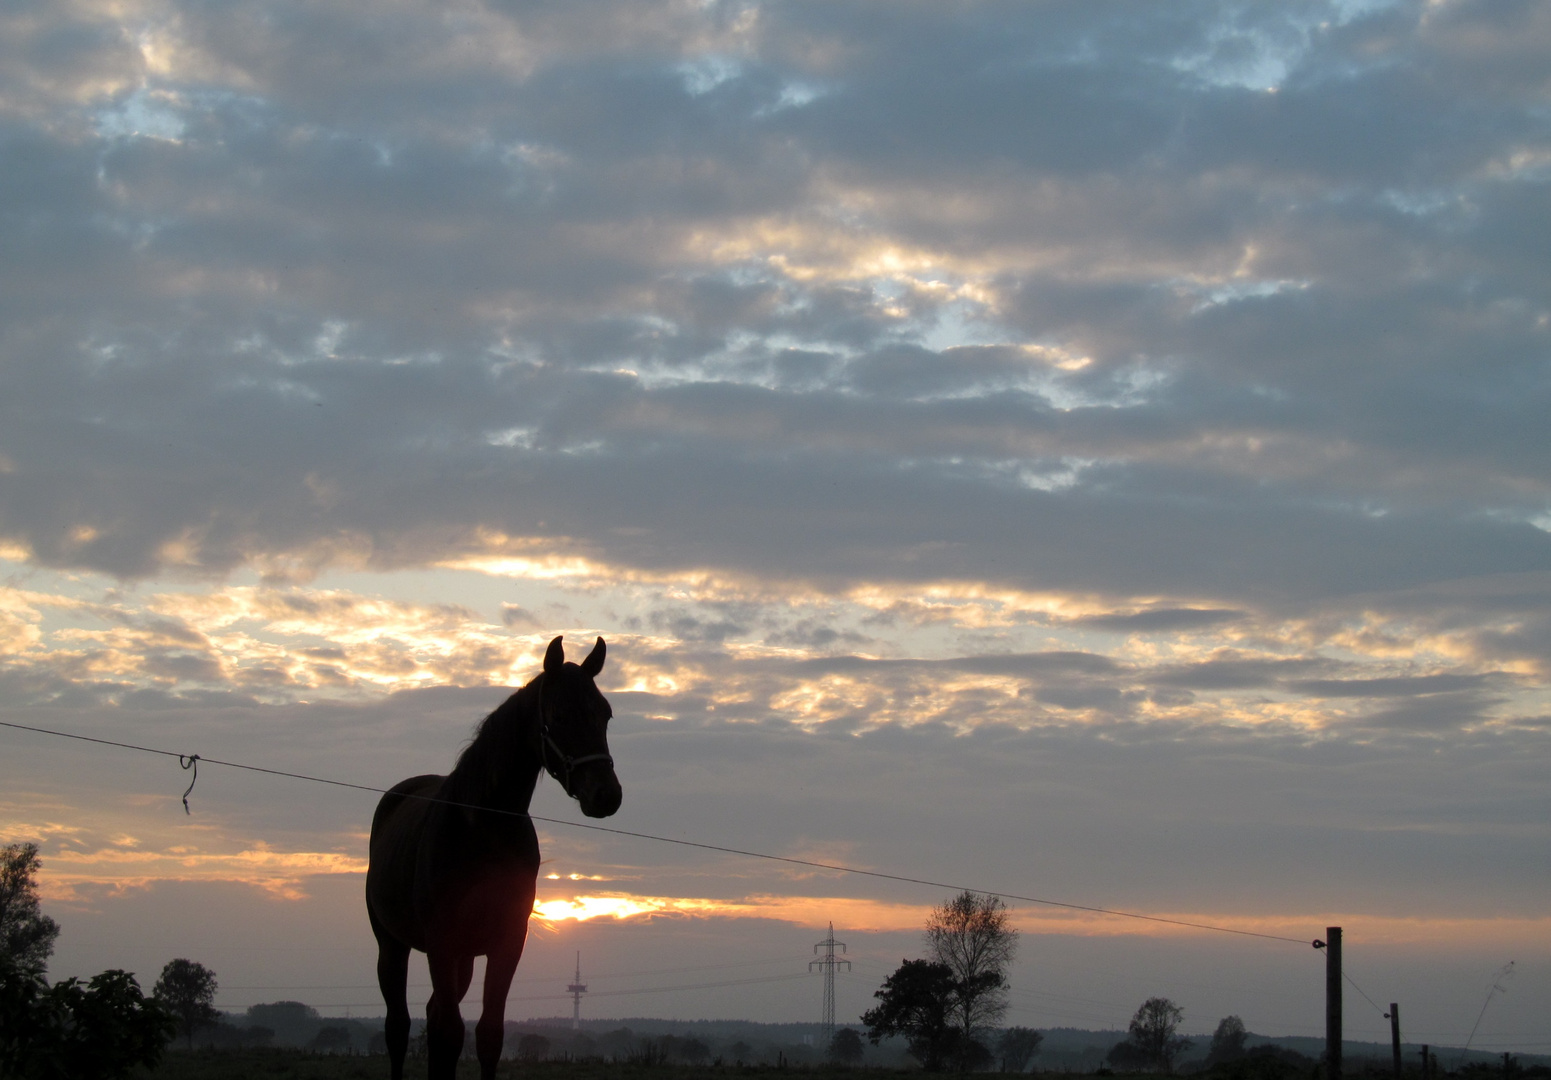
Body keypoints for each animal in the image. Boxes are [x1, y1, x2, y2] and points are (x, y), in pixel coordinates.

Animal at [366, 633, 620, 1080]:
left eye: (604, 714)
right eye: (559, 713)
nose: (605, 794)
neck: (482, 827)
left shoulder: (506, 943)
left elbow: (488, 1035)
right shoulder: (442, 942)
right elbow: (450, 1032)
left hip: (464, 957)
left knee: (433, 1014)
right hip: (392, 944)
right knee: (398, 1025)